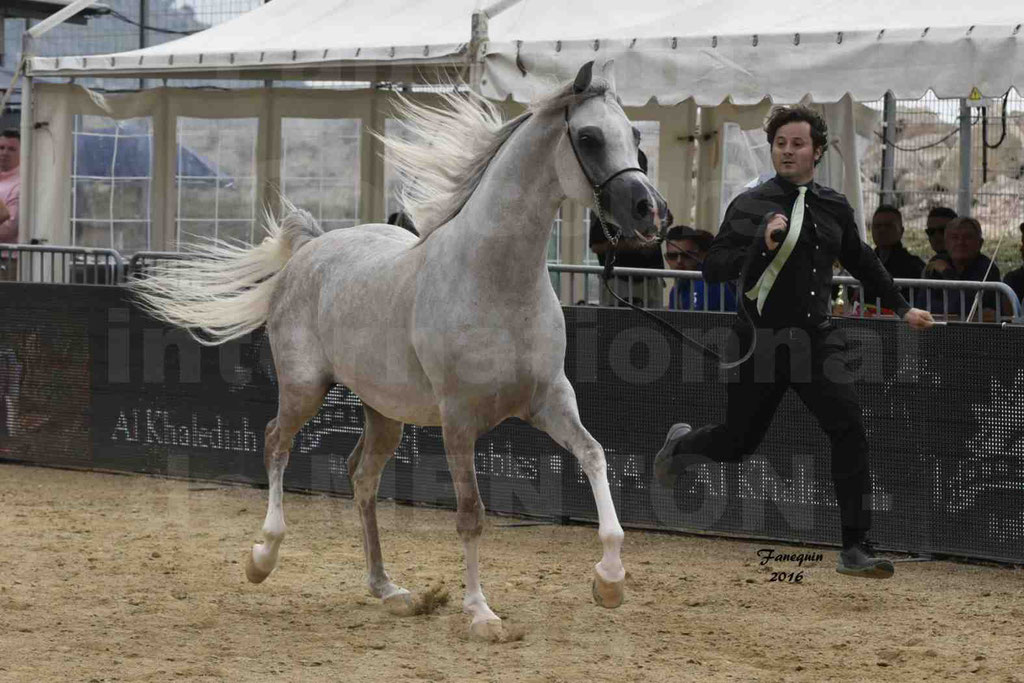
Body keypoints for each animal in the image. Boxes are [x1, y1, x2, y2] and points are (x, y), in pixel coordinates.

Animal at [134, 60, 671, 643]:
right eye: (590, 138)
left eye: (635, 137)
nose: (650, 212)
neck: (497, 281)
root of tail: (311, 248)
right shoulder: (459, 421)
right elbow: (470, 513)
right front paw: (481, 614)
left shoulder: (550, 401)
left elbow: (595, 457)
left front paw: (609, 582)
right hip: (304, 388)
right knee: (277, 443)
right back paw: (263, 557)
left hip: (384, 412)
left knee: (361, 476)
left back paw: (388, 589)